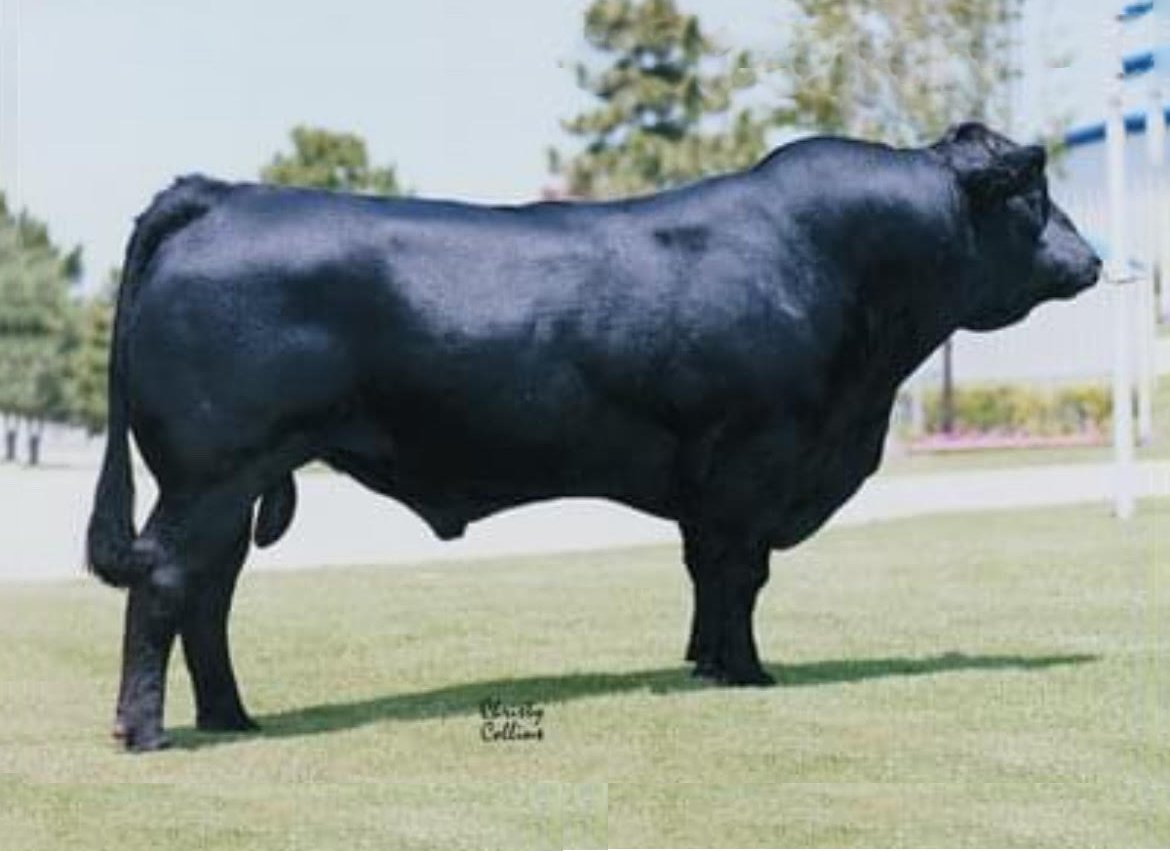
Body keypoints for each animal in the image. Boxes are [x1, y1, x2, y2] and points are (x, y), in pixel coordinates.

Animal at [87, 122, 1100, 751]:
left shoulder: (712, 485)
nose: (1092, 259)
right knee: (168, 582)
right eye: (1032, 197)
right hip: (212, 472)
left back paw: (232, 716)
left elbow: (704, 573)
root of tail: (221, 196)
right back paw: (147, 731)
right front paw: (748, 673)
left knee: (211, 594)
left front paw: (704, 663)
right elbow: (740, 575)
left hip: (232, 482)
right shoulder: (755, 463)